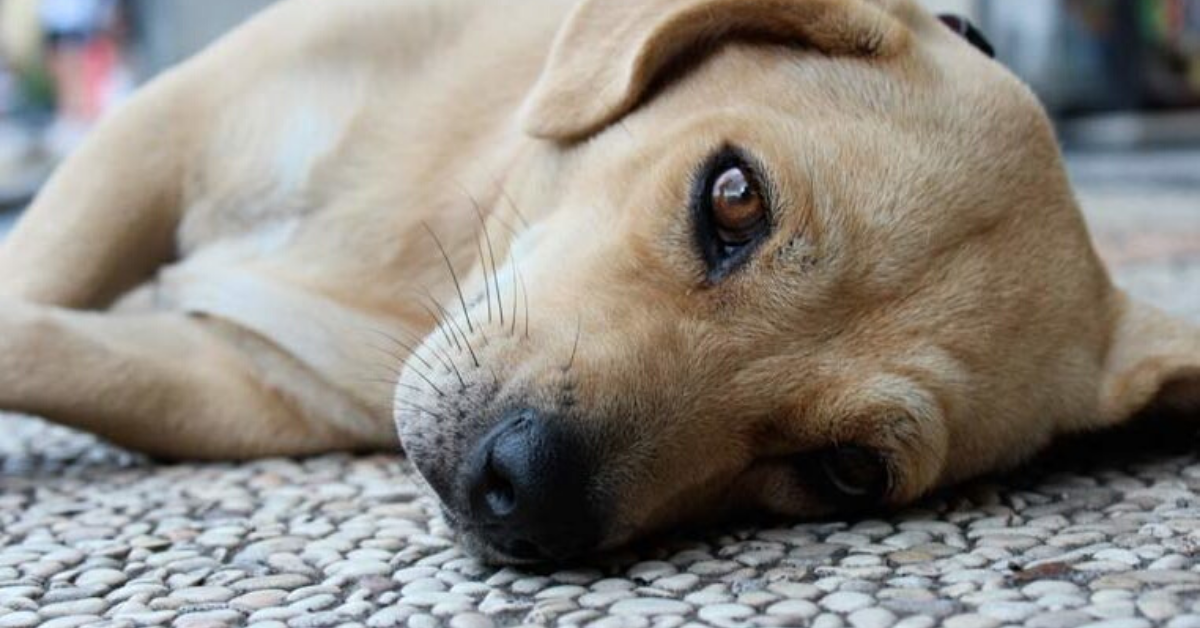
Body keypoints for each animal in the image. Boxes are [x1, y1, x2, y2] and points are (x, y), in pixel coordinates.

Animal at [0, 0, 1195, 564]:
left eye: (848, 472)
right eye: (733, 197)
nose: (524, 494)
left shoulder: (236, 385)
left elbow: (53, 345)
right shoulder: (161, 132)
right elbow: (32, 284)